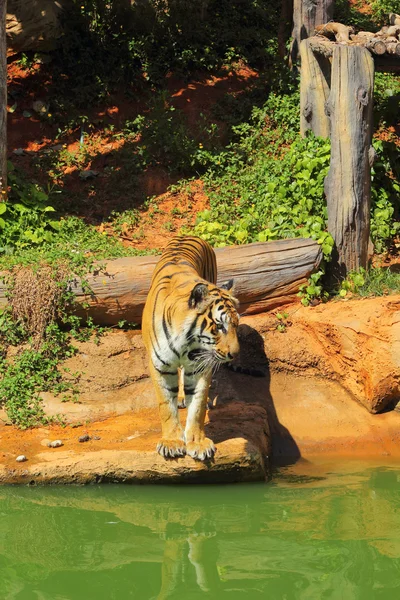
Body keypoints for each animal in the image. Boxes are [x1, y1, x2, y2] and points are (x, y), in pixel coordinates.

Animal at [142, 234, 239, 460]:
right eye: (219, 326)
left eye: (235, 325)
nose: (235, 354)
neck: (186, 343)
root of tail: (188, 234)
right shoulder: (159, 366)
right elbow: (166, 406)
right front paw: (171, 442)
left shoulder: (199, 367)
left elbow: (198, 406)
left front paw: (198, 443)